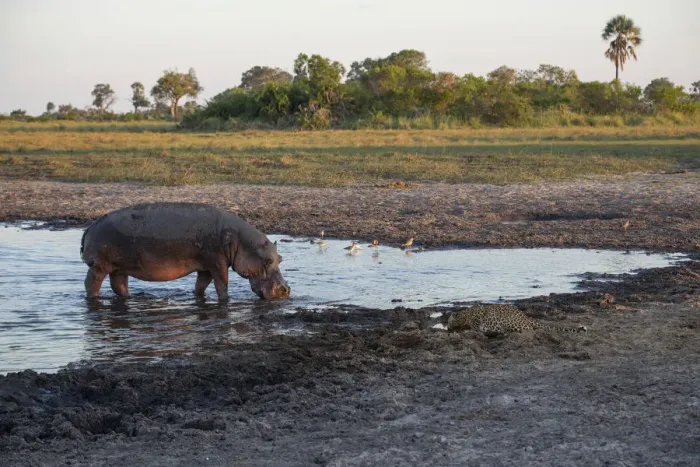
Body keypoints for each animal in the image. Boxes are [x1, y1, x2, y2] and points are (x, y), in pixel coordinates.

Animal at [80, 202, 290, 300]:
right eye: (268, 261)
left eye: (280, 258)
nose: (285, 290)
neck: (240, 240)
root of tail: (89, 227)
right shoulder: (217, 263)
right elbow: (222, 284)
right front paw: (225, 299)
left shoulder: (205, 267)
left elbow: (201, 286)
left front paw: (198, 297)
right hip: (100, 265)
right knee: (92, 283)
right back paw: (94, 298)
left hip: (119, 267)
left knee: (119, 285)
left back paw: (128, 298)